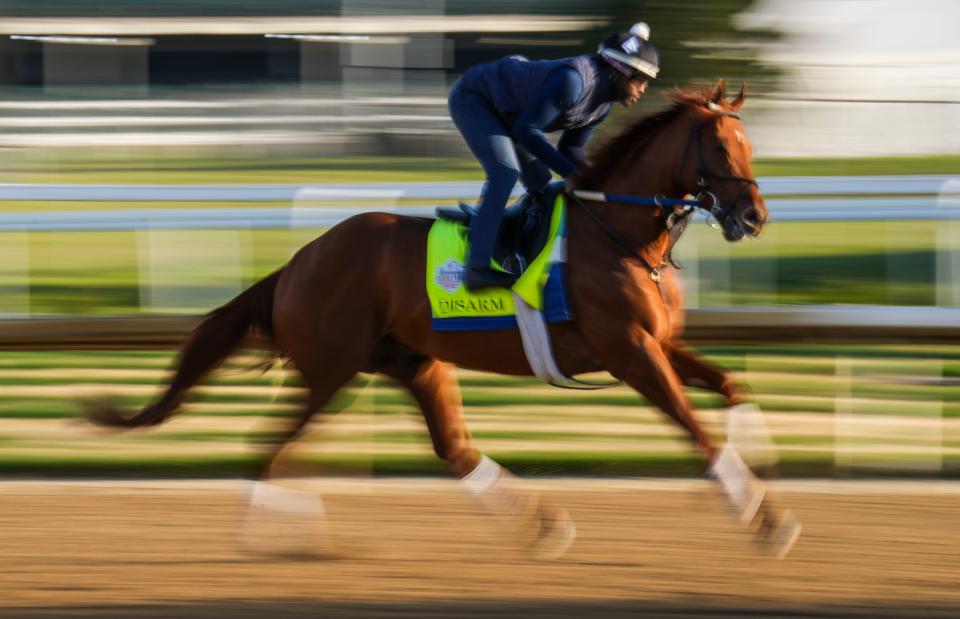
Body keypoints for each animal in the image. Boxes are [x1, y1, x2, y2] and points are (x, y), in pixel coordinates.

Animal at [90, 80, 800, 560]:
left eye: (749, 143)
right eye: (721, 145)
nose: (753, 217)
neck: (618, 232)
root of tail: (297, 261)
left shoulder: (656, 342)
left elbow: (733, 387)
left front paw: (763, 465)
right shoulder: (627, 350)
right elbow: (693, 427)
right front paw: (762, 518)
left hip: (413, 361)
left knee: (451, 448)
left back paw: (542, 526)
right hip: (331, 367)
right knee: (272, 444)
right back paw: (282, 532)